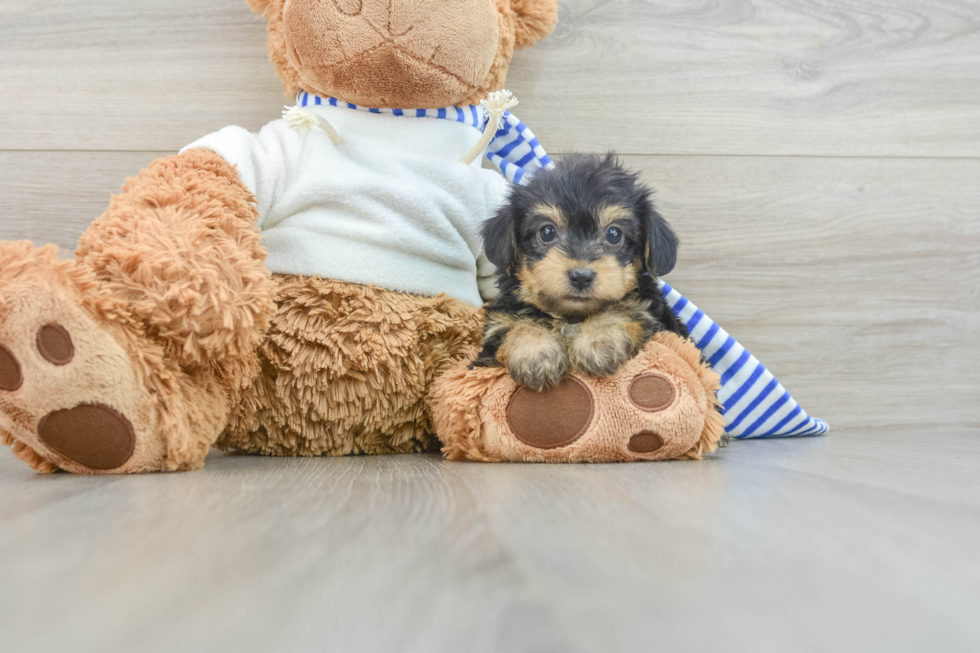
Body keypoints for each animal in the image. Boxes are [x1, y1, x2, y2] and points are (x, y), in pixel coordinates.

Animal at [468, 152, 684, 392]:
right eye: (547, 231)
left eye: (614, 234)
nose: (581, 276)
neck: (569, 317)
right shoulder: (498, 325)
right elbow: (514, 324)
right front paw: (535, 352)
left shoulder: (651, 311)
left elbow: (624, 307)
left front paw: (598, 339)